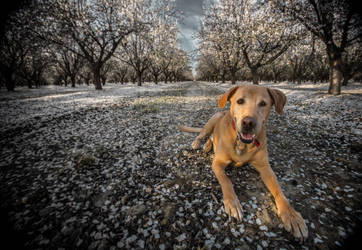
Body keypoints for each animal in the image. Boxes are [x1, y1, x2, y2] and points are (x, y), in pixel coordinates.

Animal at [178, 85, 308, 240]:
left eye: (263, 103)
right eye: (240, 101)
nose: (248, 122)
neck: (242, 143)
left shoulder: (265, 168)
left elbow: (279, 191)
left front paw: (291, 215)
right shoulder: (217, 163)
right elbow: (226, 181)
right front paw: (232, 203)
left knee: (211, 137)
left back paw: (208, 145)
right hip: (211, 121)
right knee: (203, 134)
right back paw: (199, 143)